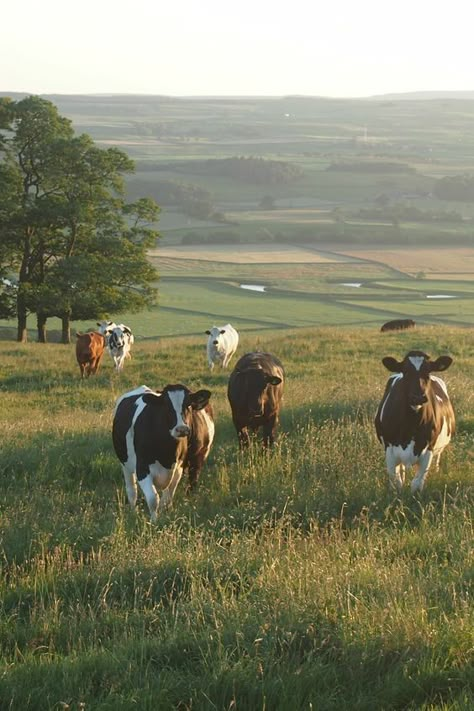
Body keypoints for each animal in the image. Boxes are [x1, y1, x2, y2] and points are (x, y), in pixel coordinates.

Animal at [112, 384, 214, 524]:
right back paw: (133, 512)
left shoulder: (178, 469)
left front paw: (165, 516)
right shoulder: (142, 468)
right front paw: (154, 521)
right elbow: (153, 498)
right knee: (132, 491)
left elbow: (166, 499)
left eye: (188, 404)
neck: (166, 453)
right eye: (166, 405)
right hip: (125, 464)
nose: (181, 429)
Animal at [374, 350, 456, 496]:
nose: (418, 397)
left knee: (436, 461)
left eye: (428, 372)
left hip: (438, 450)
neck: (410, 427)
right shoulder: (389, 449)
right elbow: (396, 483)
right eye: (406, 372)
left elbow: (417, 484)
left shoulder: (428, 450)